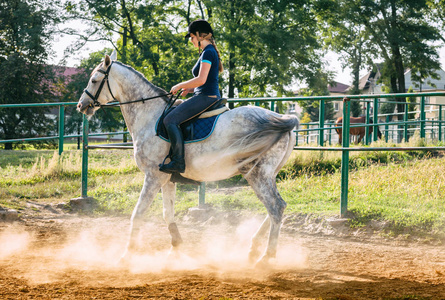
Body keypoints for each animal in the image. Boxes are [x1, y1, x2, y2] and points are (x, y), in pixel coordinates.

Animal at [76, 51, 298, 268]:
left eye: (94, 80)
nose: (81, 105)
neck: (149, 116)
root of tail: (283, 119)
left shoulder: (153, 176)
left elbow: (138, 213)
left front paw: (126, 256)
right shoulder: (166, 178)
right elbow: (167, 213)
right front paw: (175, 248)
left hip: (258, 174)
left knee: (275, 207)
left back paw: (266, 257)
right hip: (266, 174)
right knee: (278, 207)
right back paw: (253, 249)